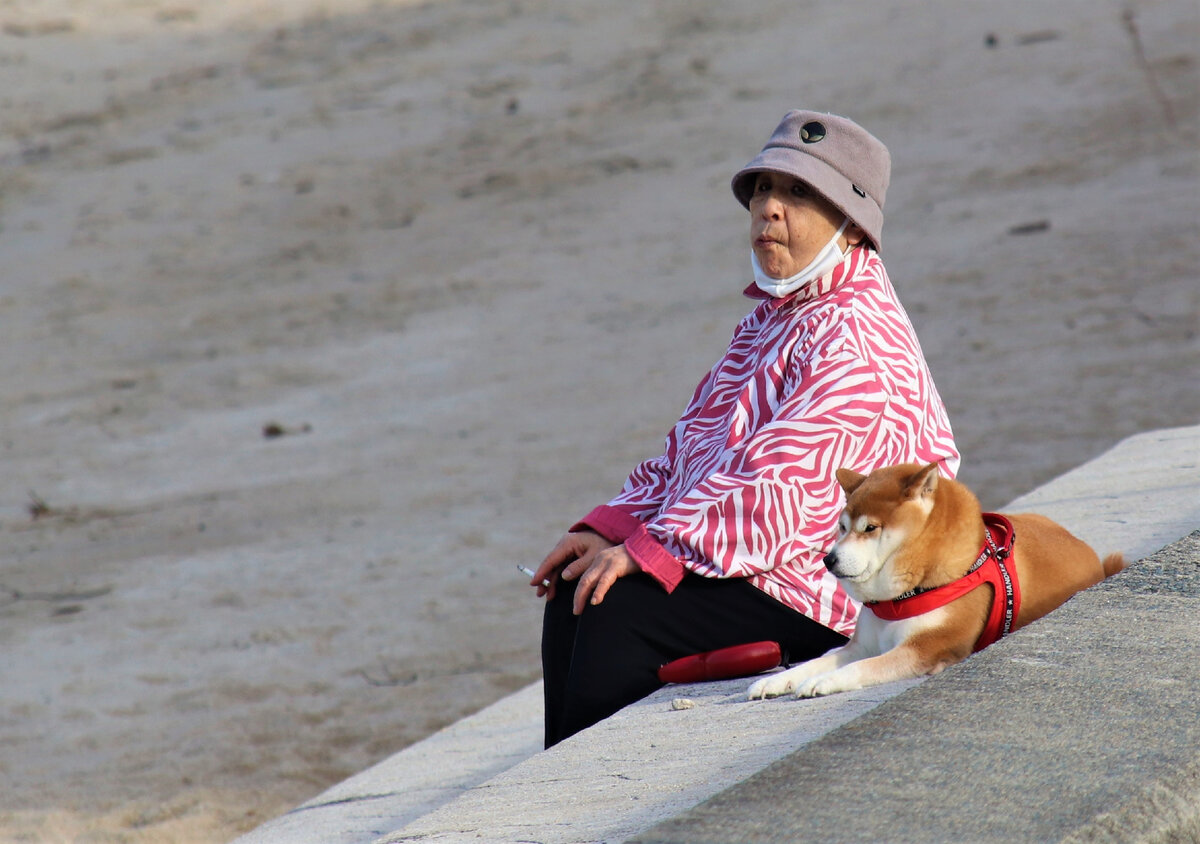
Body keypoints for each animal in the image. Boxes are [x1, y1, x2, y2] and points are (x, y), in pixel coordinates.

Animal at [748, 461, 1123, 701]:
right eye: (842, 527)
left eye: (870, 528)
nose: (829, 559)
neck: (899, 598)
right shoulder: (862, 645)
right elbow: (821, 660)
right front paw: (778, 680)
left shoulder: (926, 648)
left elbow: (863, 667)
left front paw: (825, 681)